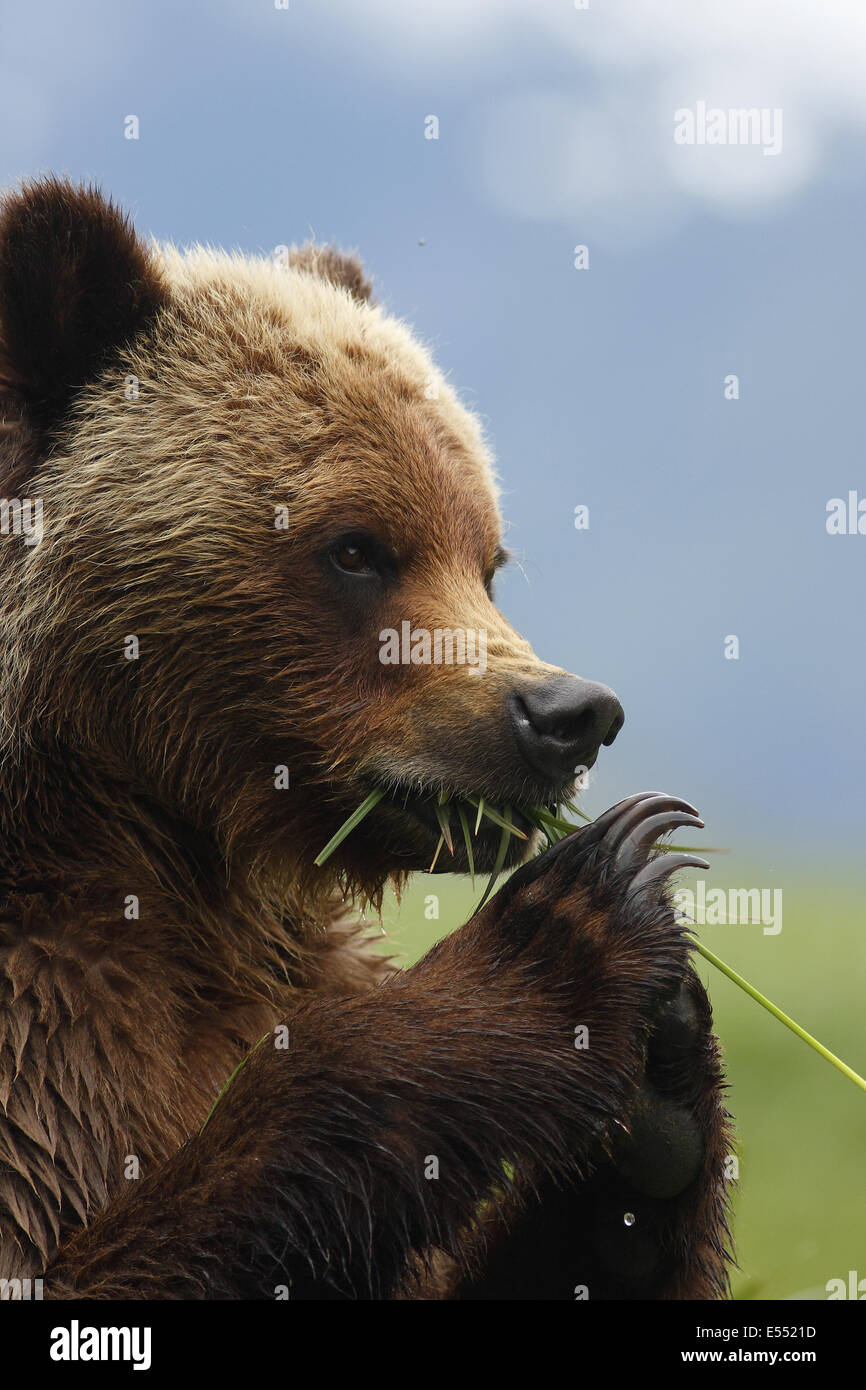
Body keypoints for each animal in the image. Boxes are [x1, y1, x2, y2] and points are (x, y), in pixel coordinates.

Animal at [0, 177, 732, 1300]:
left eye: (487, 558)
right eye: (355, 549)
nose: (566, 715)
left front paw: (661, 1083)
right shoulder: (42, 1045)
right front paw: (569, 920)